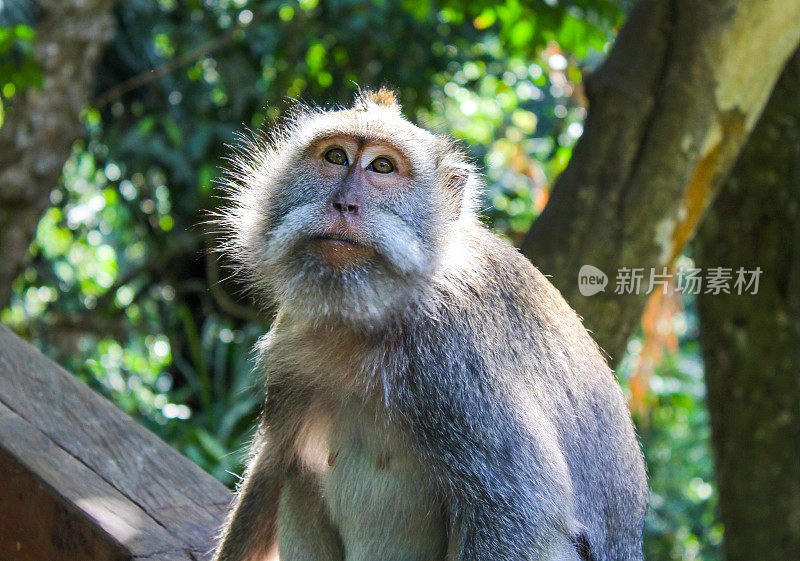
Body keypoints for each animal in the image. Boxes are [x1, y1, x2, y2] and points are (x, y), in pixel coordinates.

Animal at [214, 87, 648, 560]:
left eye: (382, 166)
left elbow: (524, 515)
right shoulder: (293, 339)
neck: (372, 317)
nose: (344, 204)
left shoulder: (455, 363)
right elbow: (276, 461)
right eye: (336, 157)